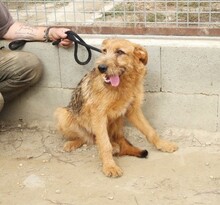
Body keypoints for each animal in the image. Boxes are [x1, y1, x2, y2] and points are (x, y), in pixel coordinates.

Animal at [54, 38, 178, 178]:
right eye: (104, 51)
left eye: (120, 52)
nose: (101, 68)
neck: (122, 86)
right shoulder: (99, 115)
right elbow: (104, 144)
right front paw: (110, 166)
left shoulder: (133, 110)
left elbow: (150, 131)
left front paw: (163, 144)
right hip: (62, 114)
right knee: (88, 138)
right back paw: (73, 143)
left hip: (117, 121)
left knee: (114, 139)